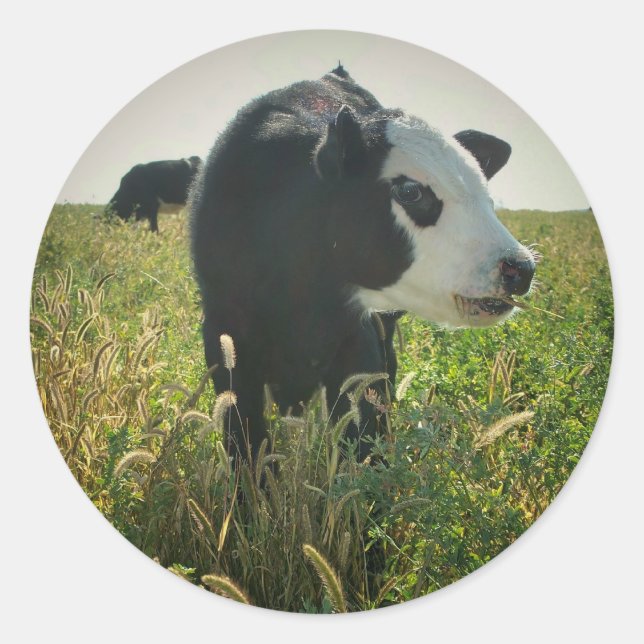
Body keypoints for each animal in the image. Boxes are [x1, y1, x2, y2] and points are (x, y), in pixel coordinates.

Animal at [189, 64, 535, 463]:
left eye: (486, 195)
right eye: (410, 191)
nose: (520, 268)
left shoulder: (359, 341)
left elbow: (362, 447)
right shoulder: (225, 340)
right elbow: (247, 449)